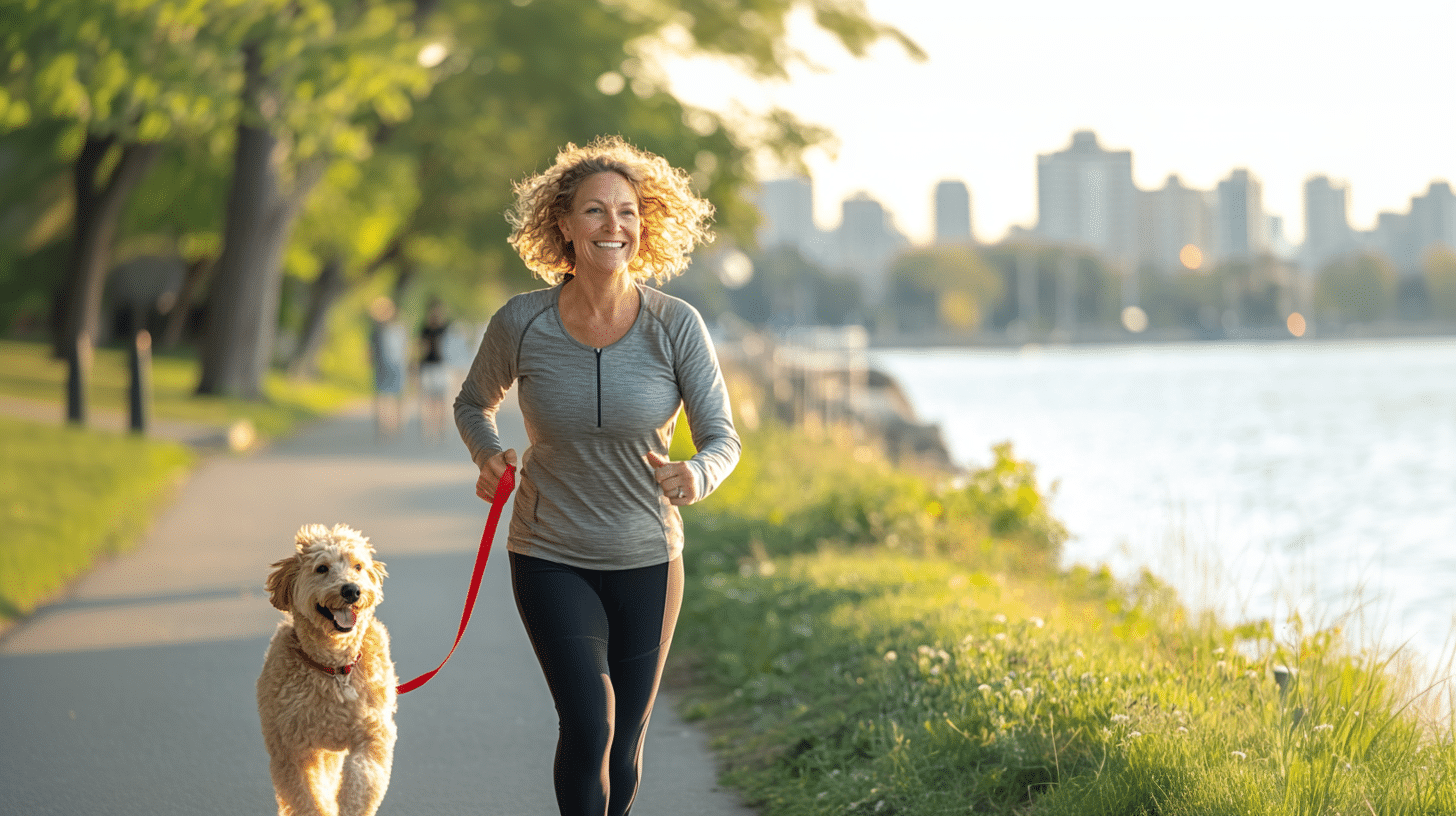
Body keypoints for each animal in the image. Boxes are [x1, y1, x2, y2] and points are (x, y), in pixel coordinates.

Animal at [254, 521, 393, 816]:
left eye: (358, 566)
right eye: (322, 568)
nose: (351, 590)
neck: (335, 669)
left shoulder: (373, 734)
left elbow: (362, 780)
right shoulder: (294, 752)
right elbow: (308, 798)